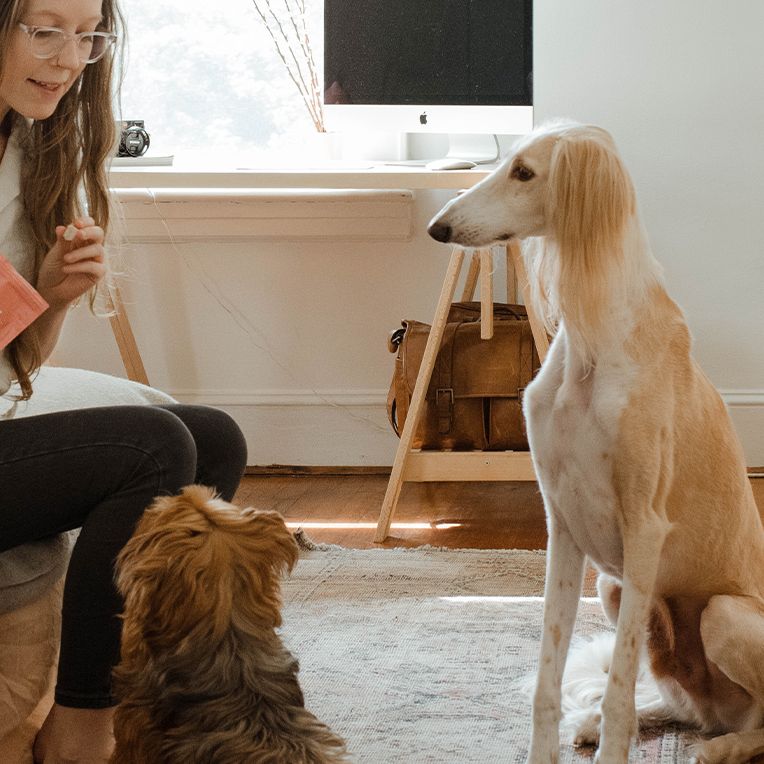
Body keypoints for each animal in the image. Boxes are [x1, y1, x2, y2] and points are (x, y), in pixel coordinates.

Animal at [426, 122, 764, 760]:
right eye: (506, 163)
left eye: (525, 173)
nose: (438, 229)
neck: (592, 345)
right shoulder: (562, 525)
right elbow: (550, 683)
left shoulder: (643, 530)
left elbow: (618, 696)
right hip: (611, 589)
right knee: (688, 707)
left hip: (723, 615)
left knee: (746, 719)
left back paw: (721, 748)